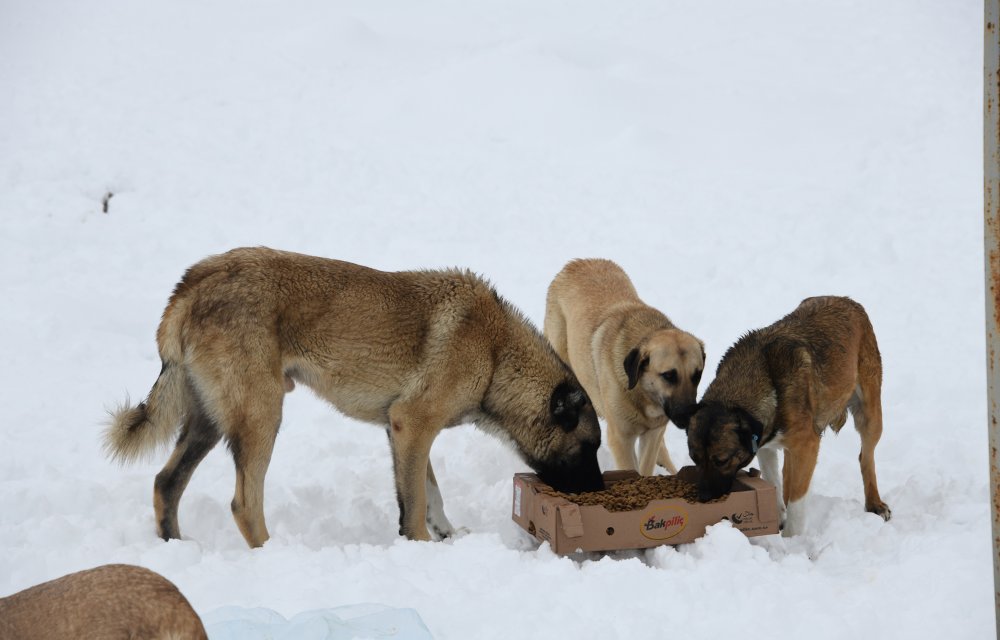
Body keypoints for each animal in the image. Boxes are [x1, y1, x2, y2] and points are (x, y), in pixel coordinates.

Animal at [103, 248, 600, 548]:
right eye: (589, 448)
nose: (598, 491)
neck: (496, 355)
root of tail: (192, 283)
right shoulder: (413, 425)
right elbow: (415, 506)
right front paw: (420, 547)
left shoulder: (402, 432)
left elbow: (430, 495)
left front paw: (446, 535)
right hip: (261, 419)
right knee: (244, 504)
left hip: (208, 422)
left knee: (166, 484)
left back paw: (174, 545)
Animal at [548, 258, 704, 476]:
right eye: (668, 375)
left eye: (697, 375)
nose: (689, 416)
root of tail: (575, 263)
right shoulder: (620, 439)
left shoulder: (652, 433)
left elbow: (646, 467)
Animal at [680, 298, 892, 536]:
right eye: (694, 459)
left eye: (722, 460)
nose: (704, 498)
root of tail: (848, 300)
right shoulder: (764, 444)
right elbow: (773, 478)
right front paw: (778, 515)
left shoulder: (807, 445)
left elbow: (797, 501)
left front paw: (793, 538)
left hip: (870, 413)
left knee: (866, 457)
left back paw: (875, 504)